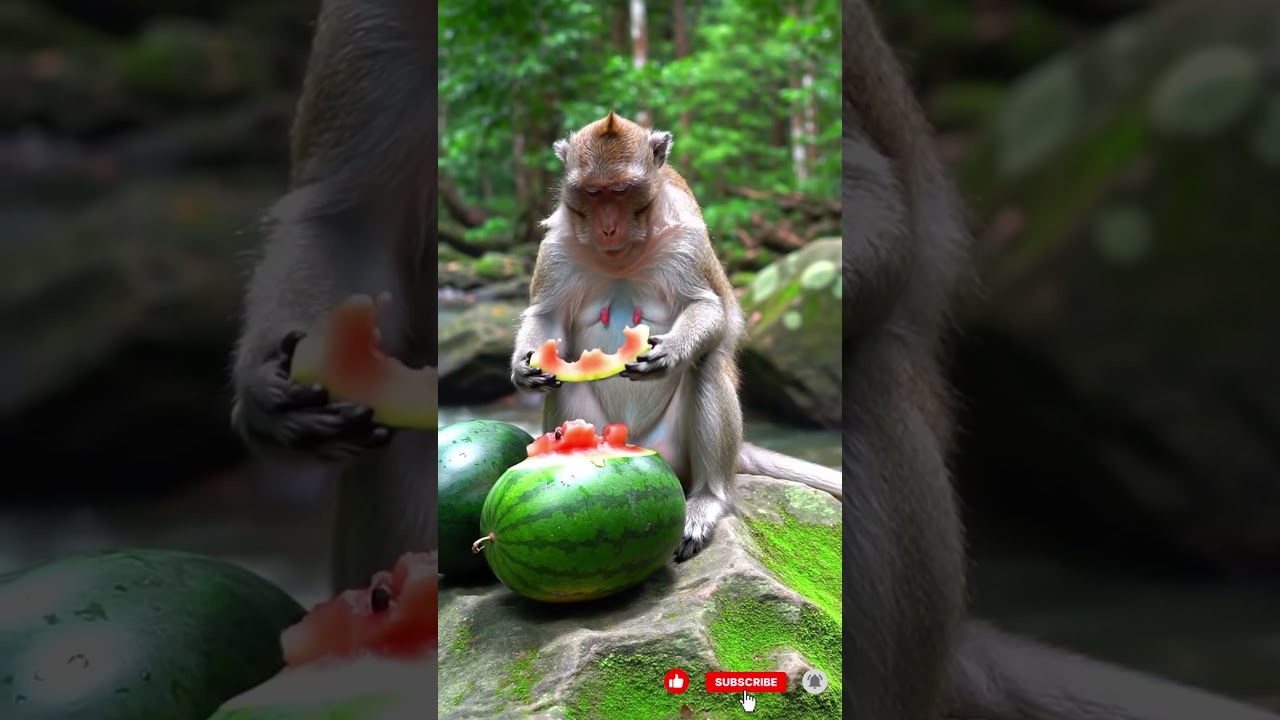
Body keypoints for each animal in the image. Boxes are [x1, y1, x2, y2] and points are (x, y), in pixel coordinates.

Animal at [510, 110, 842, 562]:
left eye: (621, 190)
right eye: (593, 192)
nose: (608, 228)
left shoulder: (686, 241)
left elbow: (710, 308)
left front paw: (672, 353)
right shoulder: (555, 249)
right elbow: (547, 316)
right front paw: (522, 368)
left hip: (677, 452)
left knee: (709, 364)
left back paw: (708, 499)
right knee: (565, 381)